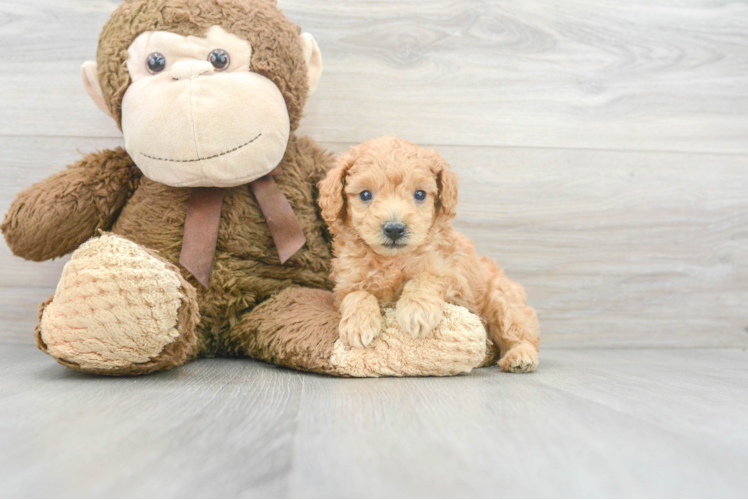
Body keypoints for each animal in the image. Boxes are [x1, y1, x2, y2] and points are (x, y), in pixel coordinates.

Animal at [318, 136, 540, 372]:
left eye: (420, 194)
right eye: (365, 194)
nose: (394, 229)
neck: (392, 261)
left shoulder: (455, 279)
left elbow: (425, 277)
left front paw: (416, 310)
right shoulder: (345, 284)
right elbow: (357, 294)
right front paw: (358, 323)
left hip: (501, 301)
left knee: (520, 333)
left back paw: (521, 356)